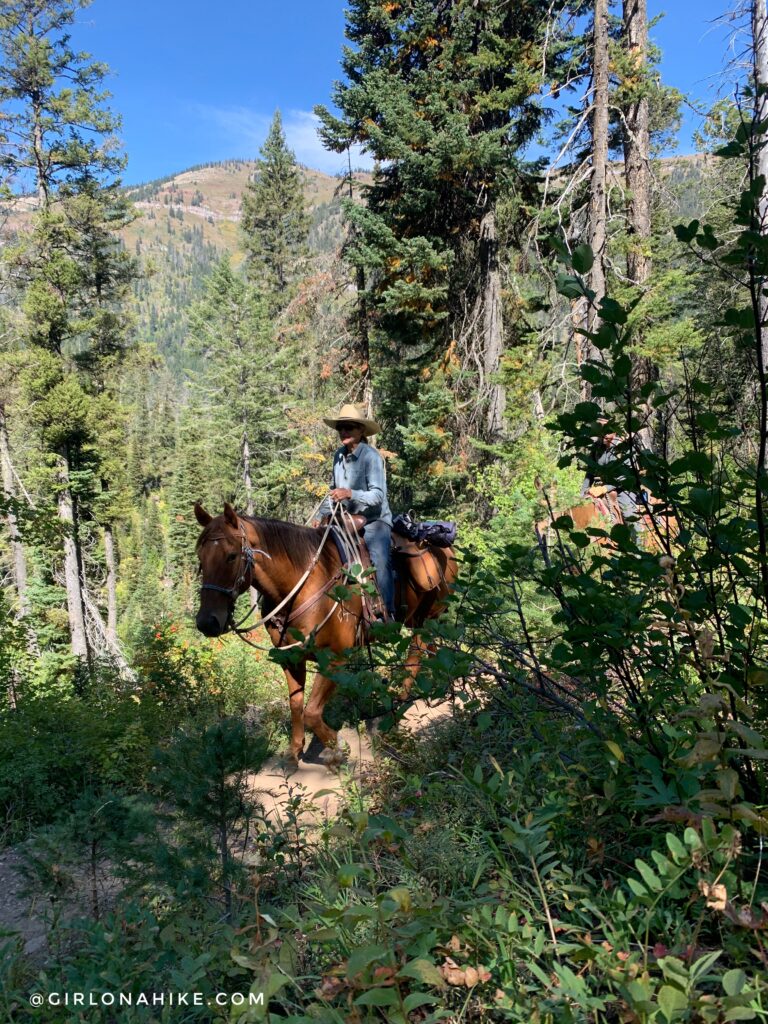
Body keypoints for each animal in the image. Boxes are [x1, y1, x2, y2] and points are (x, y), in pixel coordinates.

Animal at [193, 503, 456, 770]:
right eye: (200, 559)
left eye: (231, 556)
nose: (207, 622)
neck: (304, 585)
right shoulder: (291, 659)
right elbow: (296, 705)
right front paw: (294, 753)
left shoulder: (334, 659)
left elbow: (311, 712)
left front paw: (336, 750)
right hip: (416, 619)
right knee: (430, 650)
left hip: (428, 618)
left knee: (416, 654)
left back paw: (401, 700)